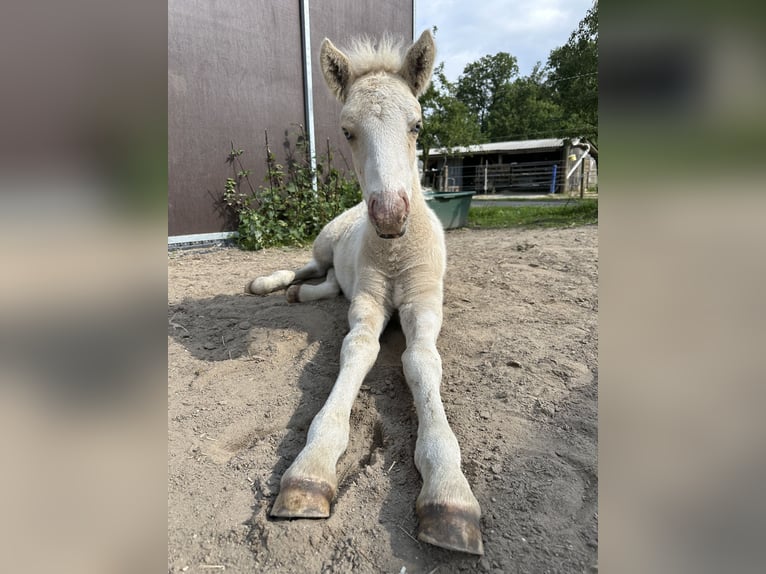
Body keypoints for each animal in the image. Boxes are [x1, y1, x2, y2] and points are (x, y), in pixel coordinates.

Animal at [246, 31, 486, 560]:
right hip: (322, 245)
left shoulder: (424, 304)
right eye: (347, 131)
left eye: (417, 124)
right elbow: (357, 349)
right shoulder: (369, 305)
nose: (390, 215)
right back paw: (271, 286)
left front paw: (449, 494)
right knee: (307, 267)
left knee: (329, 282)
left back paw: (299, 296)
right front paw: (310, 471)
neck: (395, 254)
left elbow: (421, 361)